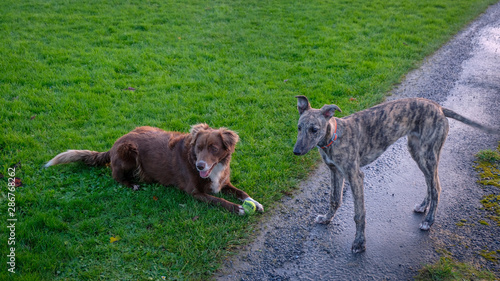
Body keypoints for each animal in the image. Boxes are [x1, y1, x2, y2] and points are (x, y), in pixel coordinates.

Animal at [45, 123, 264, 213]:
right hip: (128, 152)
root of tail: (115, 143)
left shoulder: (223, 182)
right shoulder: (195, 193)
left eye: (214, 148)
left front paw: (254, 202)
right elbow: (218, 200)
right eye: (198, 147)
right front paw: (238, 209)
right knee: (116, 176)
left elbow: (241, 192)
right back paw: (132, 184)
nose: (200, 165)